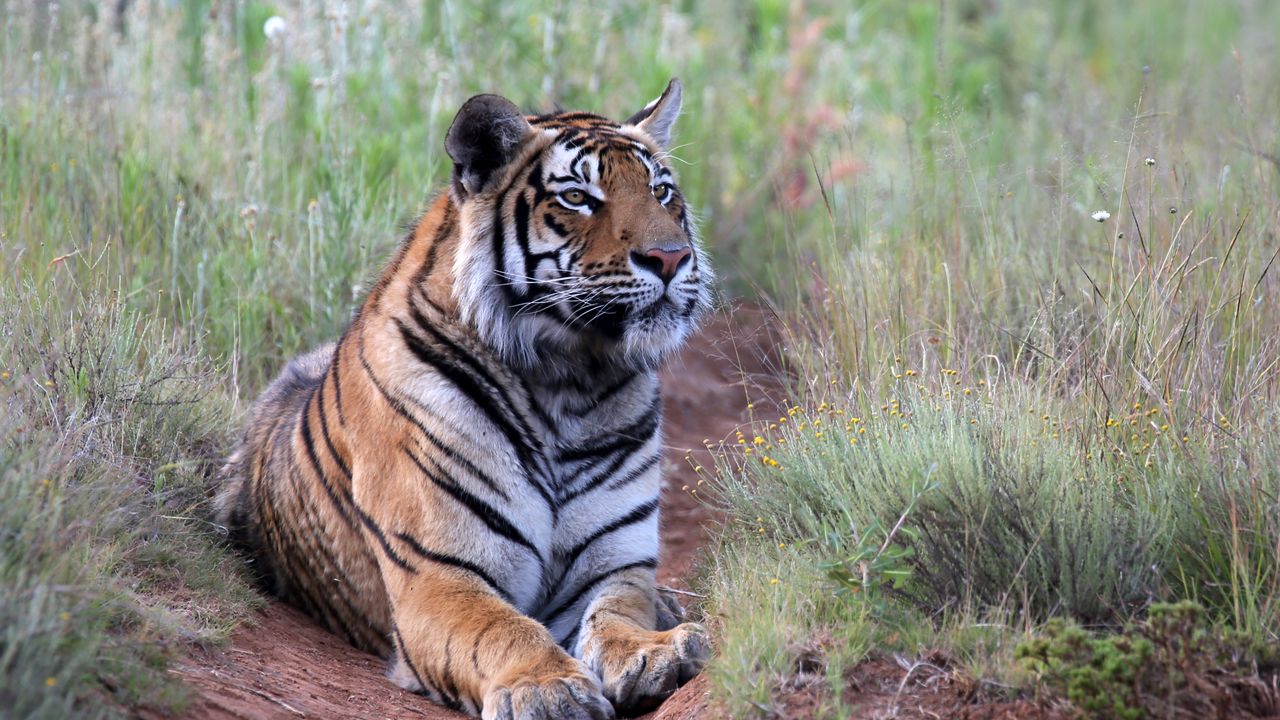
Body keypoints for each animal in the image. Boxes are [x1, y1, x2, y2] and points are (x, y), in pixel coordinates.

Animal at [214, 79, 712, 720]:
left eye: (661, 191)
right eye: (578, 196)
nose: (672, 257)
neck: (569, 385)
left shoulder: (612, 567)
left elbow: (620, 614)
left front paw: (657, 651)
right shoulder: (439, 575)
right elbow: (502, 629)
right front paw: (546, 689)